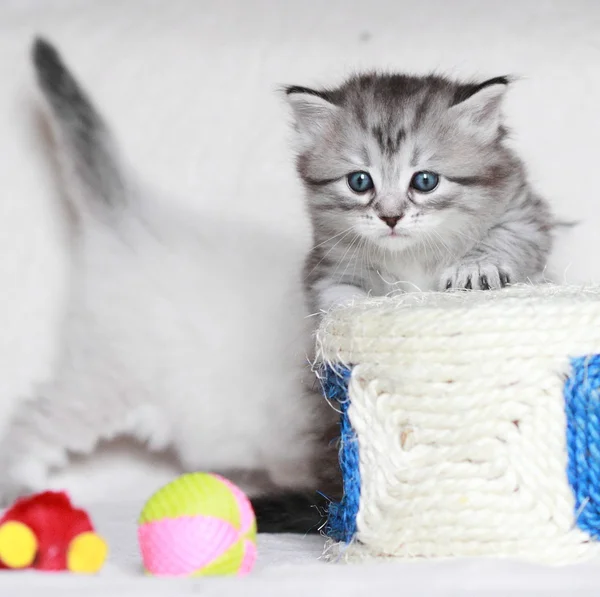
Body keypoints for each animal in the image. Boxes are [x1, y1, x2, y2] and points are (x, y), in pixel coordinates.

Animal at [284, 73, 552, 312]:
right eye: (359, 181)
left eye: (425, 181)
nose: (390, 218)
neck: (411, 255)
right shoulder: (325, 263)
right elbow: (336, 297)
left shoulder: (521, 208)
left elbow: (506, 235)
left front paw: (474, 267)